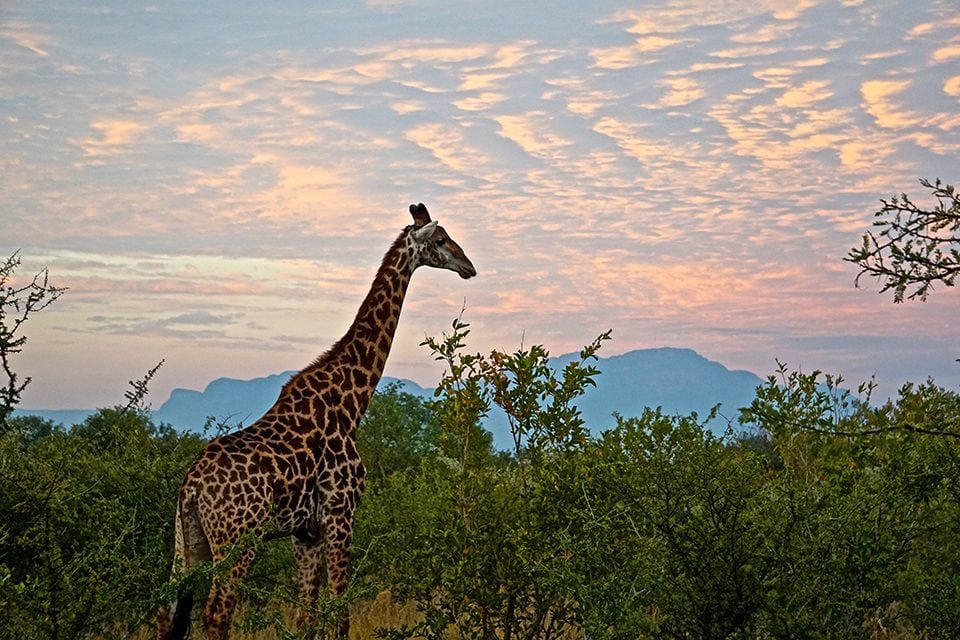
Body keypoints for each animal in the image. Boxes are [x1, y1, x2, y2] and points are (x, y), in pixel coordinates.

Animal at [156, 204, 478, 640]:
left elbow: (306, 616)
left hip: (187, 539)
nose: (469, 266)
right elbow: (339, 614)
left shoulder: (304, 532)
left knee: (166, 612)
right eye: (441, 239)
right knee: (216, 614)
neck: (352, 402)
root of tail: (190, 488)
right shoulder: (341, 515)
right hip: (238, 539)